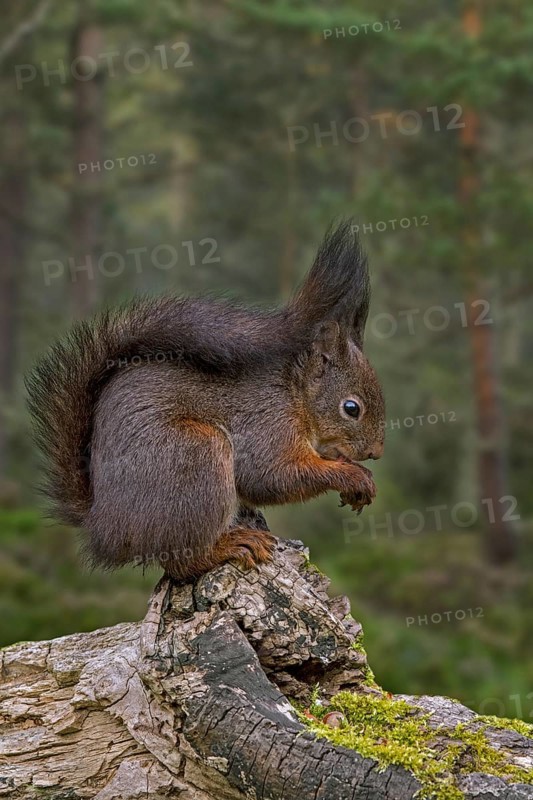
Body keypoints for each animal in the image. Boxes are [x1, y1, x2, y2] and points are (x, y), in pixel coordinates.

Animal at [26, 220, 385, 581]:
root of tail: (104, 528)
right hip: (196, 455)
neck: (294, 392)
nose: (375, 453)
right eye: (351, 408)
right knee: (182, 560)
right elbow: (271, 476)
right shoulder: (267, 421)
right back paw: (230, 546)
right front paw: (354, 476)